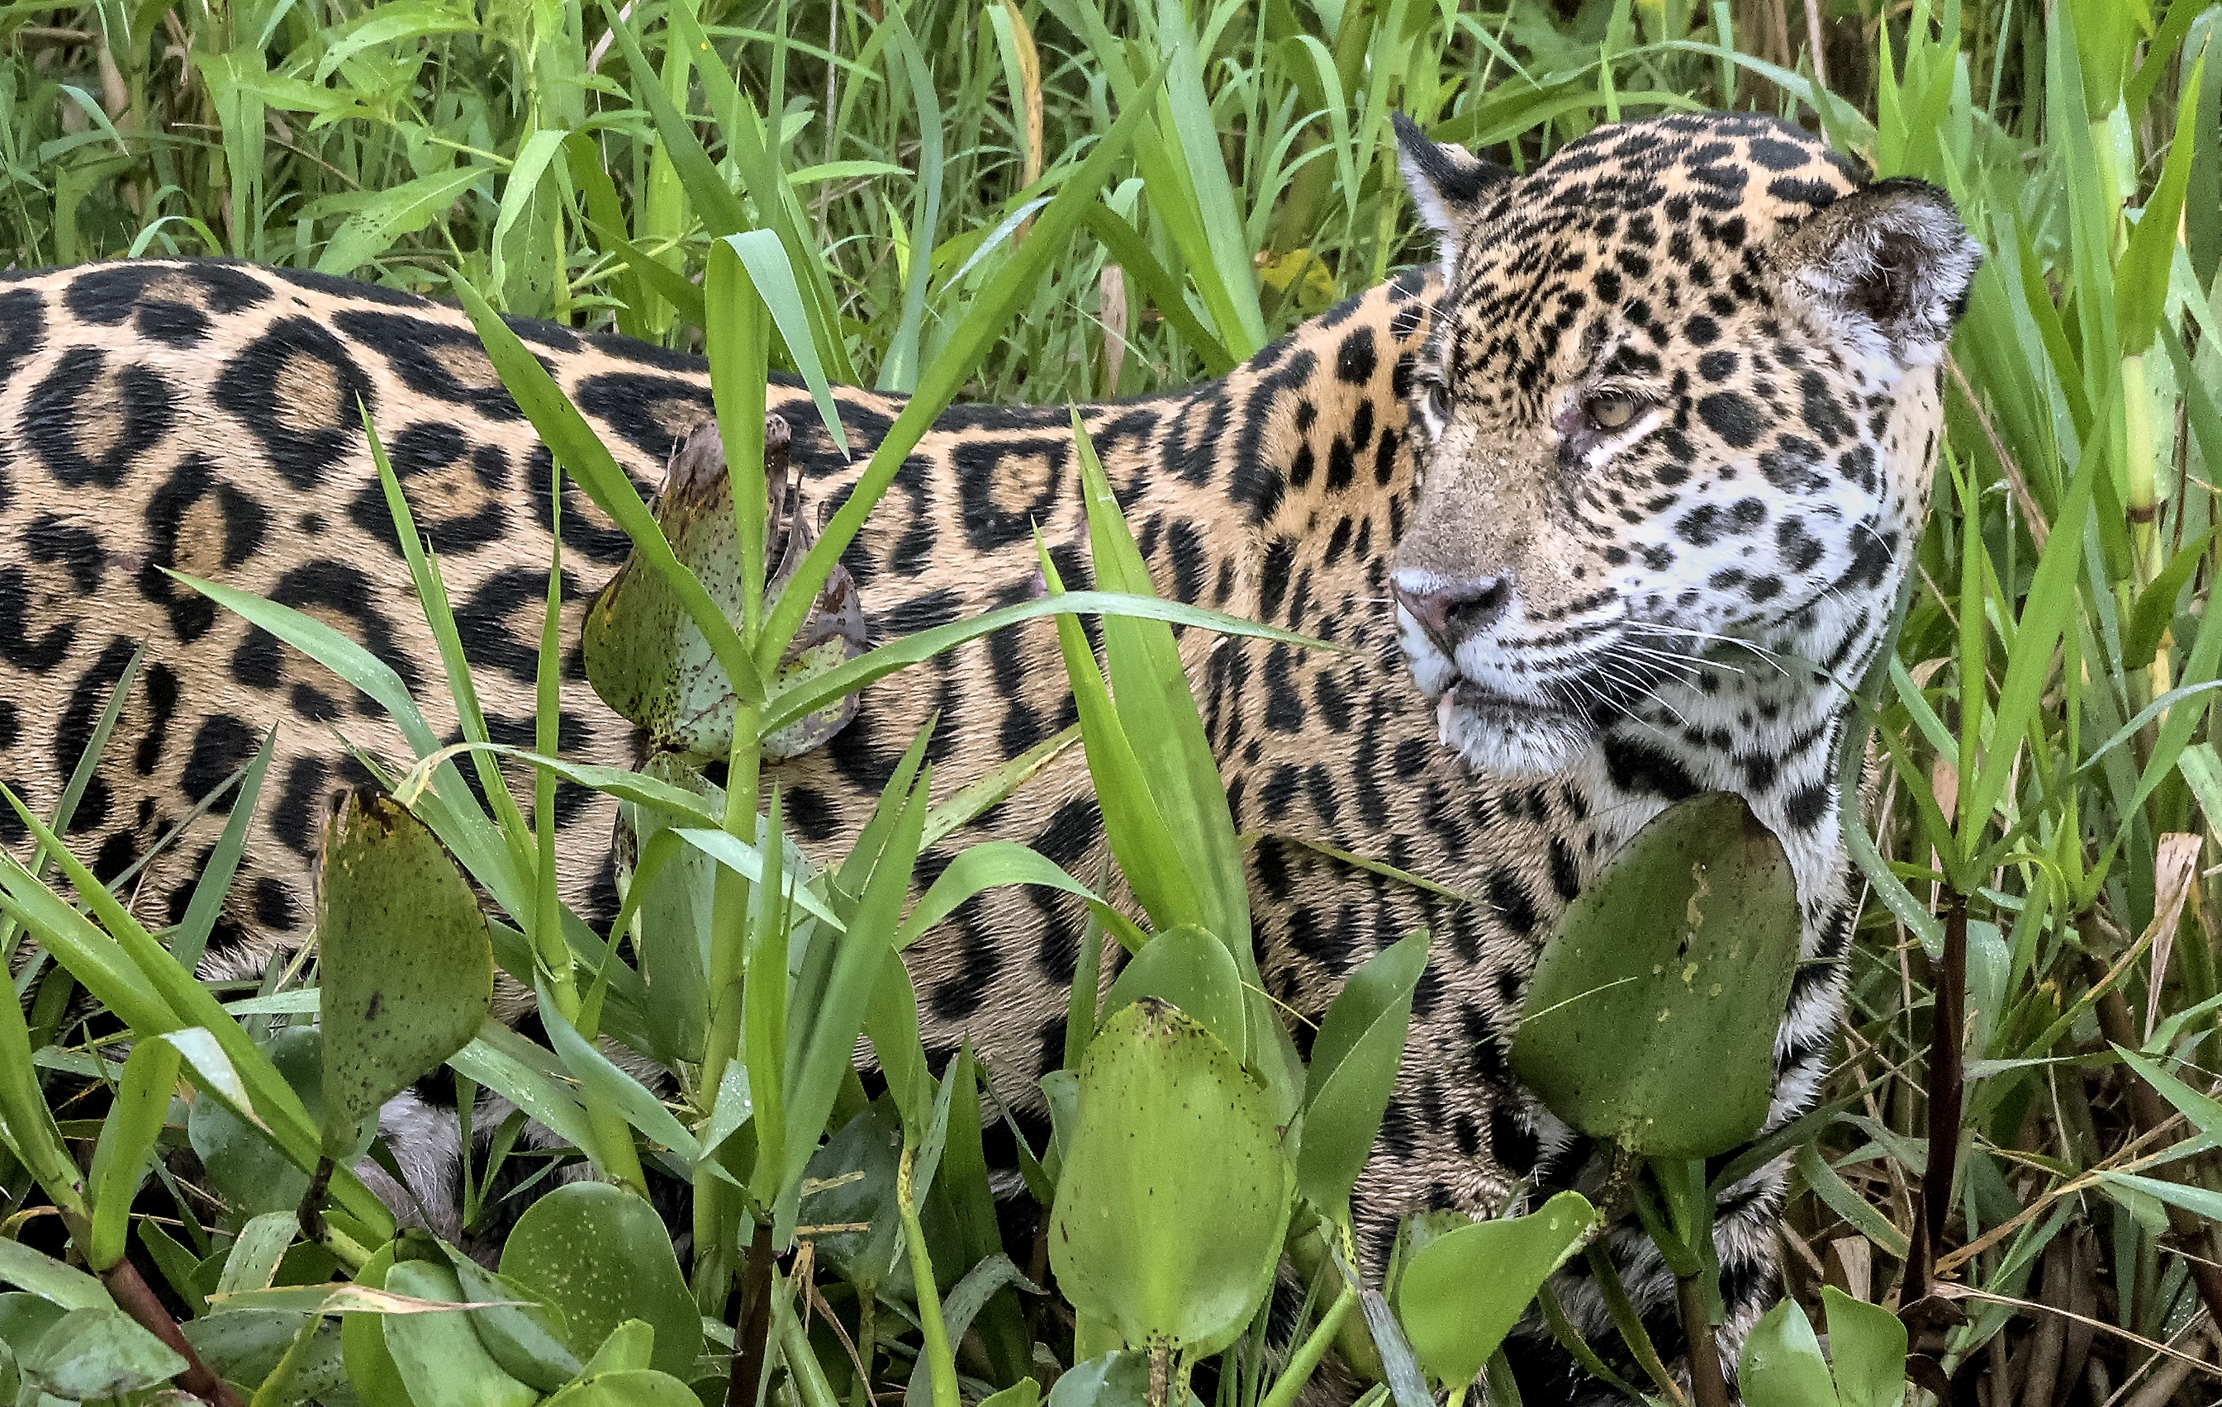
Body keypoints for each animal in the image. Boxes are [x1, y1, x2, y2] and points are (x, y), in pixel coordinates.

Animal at [0, 110, 1978, 1402]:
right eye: (1441, 402)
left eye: (1619, 413)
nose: (1435, 601)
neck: (1737, 764)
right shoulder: (1405, 1212)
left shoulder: (1707, 1207)